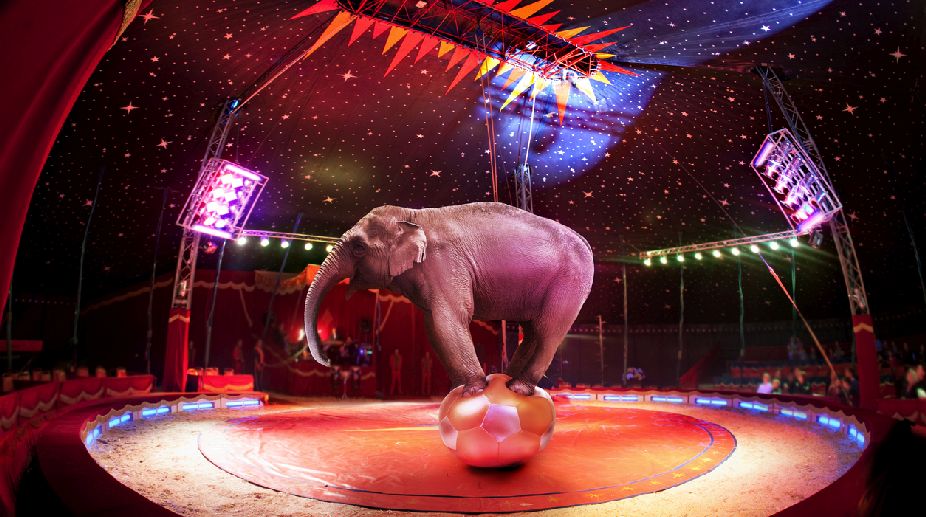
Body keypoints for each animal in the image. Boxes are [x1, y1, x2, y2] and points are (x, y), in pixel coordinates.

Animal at [303, 202, 594, 396]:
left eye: (358, 247)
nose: (329, 360)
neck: (413, 215)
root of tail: (586, 243)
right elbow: (433, 326)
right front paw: (458, 390)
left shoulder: (444, 263)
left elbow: (451, 318)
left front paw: (474, 390)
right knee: (532, 332)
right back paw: (507, 380)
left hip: (570, 282)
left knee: (547, 332)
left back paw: (518, 388)